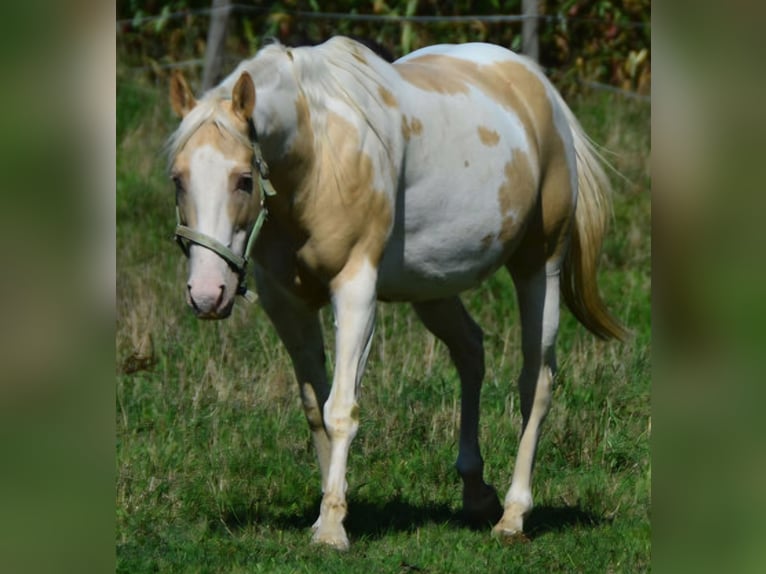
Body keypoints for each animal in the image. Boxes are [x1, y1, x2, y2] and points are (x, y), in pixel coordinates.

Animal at [167, 36, 627, 550]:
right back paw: (476, 493)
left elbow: (340, 408)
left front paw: (332, 530)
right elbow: (314, 408)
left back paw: (512, 515)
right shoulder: (286, 303)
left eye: (244, 179)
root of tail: (539, 87)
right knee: (471, 352)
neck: (320, 155)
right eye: (178, 179)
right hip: (433, 288)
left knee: (537, 383)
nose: (208, 294)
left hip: (538, 269)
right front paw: (325, 514)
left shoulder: (356, 293)